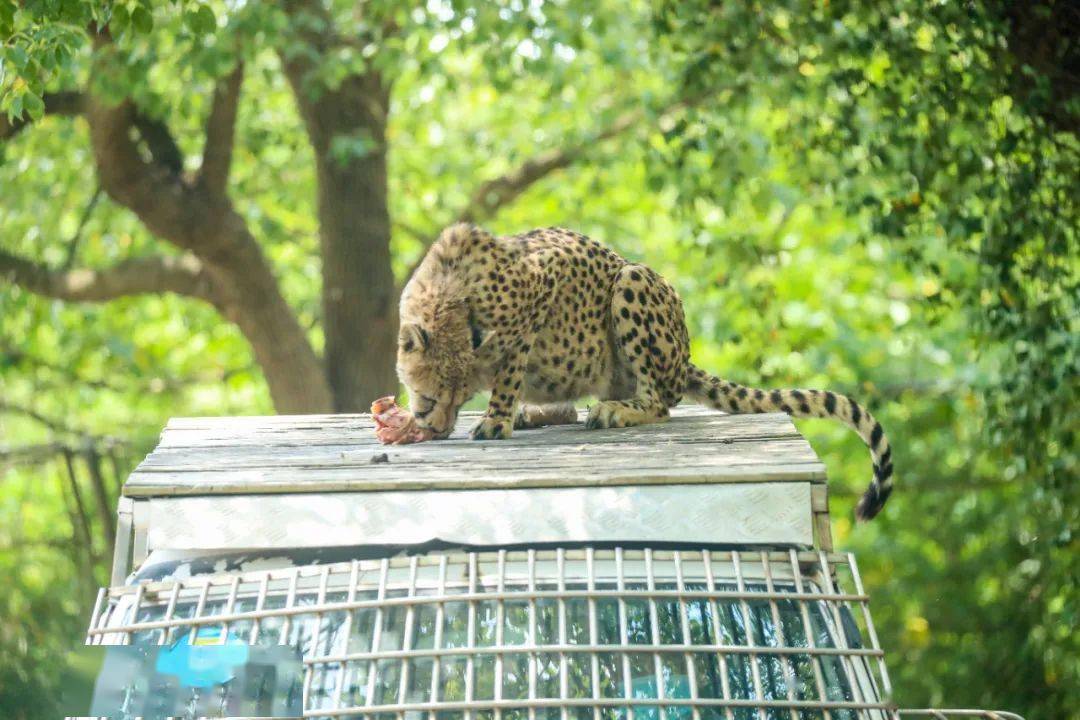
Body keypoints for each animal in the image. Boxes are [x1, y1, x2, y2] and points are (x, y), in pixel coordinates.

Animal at [397, 223, 894, 518]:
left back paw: (616, 410)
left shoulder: (541, 283)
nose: (435, 427)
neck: (447, 297)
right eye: (437, 396)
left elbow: (511, 366)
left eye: (452, 398)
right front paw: (506, 414)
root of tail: (685, 359)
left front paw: (496, 419)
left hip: (631, 281)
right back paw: (540, 412)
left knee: (659, 401)